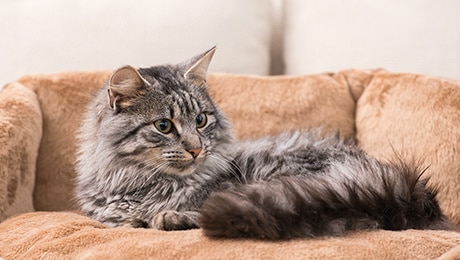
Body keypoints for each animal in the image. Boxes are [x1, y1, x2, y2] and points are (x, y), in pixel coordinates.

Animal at [74, 46, 450, 240]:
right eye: (164, 126)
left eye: (201, 120)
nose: (196, 148)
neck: (141, 182)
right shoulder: (106, 214)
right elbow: (121, 221)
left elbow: (172, 213)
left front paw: (167, 217)